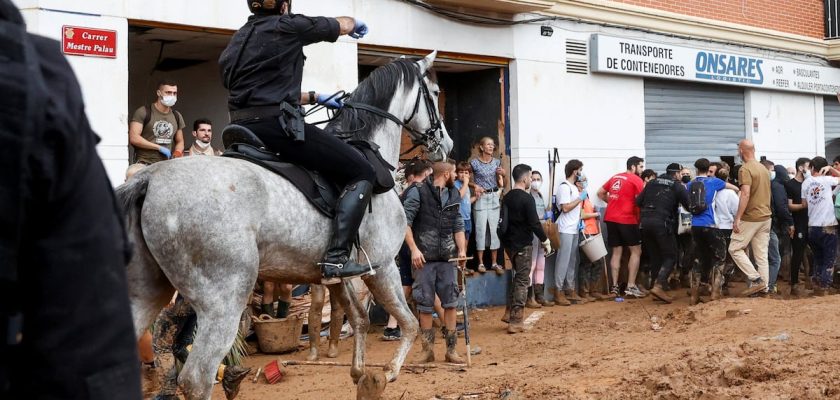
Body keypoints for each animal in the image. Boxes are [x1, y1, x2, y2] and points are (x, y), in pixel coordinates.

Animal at [116, 53, 452, 400]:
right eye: (435, 91)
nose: (447, 144)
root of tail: (149, 179)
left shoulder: (338, 273)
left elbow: (358, 318)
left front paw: (360, 374)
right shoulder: (383, 267)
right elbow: (409, 323)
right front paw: (386, 374)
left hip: (148, 291)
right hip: (224, 298)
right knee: (197, 377)